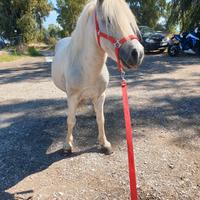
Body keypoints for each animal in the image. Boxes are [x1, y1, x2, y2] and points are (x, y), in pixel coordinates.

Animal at [51, 0, 144, 155]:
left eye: (129, 20)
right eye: (108, 19)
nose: (137, 53)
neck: (87, 69)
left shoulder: (100, 96)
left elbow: (101, 119)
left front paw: (104, 144)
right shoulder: (72, 96)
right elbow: (71, 120)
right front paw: (67, 145)